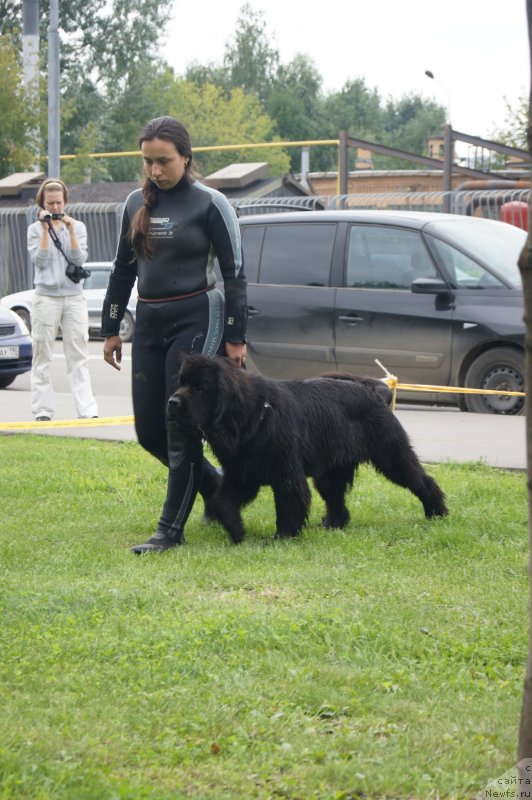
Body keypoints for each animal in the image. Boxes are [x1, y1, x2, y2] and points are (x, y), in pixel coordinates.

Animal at [168, 356, 446, 544]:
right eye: (181, 383)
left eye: (200, 388)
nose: (172, 401)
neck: (249, 416)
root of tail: (376, 392)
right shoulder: (242, 473)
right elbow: (222, 501)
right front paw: (237, 531)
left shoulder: (286, 473)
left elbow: (289, 502)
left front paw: (283, 537)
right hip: (330, 472)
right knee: (336, 499)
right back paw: (333, 524)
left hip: (391, 456)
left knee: (421, 480)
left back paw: (437, 512)